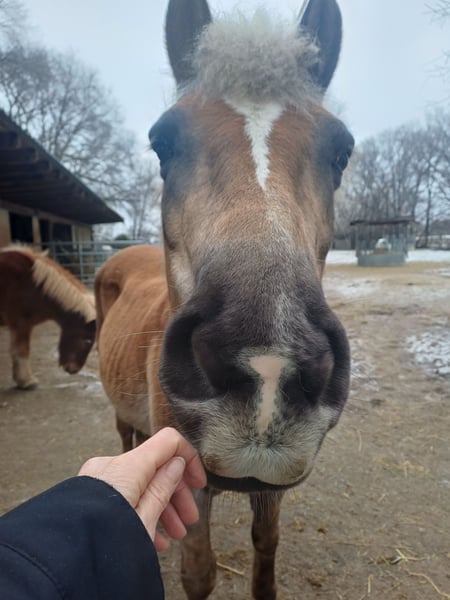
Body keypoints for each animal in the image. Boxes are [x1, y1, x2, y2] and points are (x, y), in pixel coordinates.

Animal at [95, 0, 354, 597]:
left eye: (342, 151)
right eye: (162, 142)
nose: (268, 367)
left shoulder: (270, 488)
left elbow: (266, 550)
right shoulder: (190, 481)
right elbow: (199, 573)